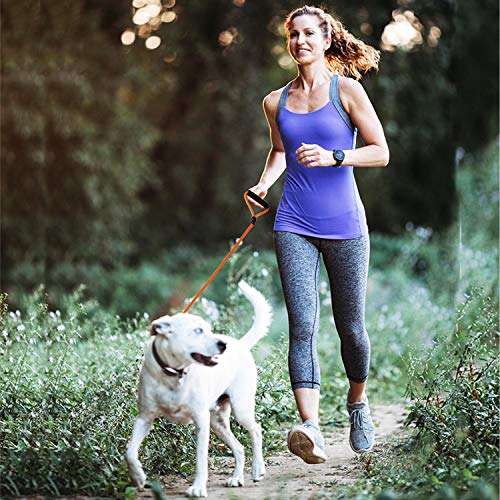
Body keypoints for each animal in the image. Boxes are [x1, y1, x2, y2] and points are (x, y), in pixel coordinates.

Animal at [125, 282, 274, 496]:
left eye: (209, 330)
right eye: (197, 331)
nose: (223, 345)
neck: (174, 374)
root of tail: (240, 344)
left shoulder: (201, 420)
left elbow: (201, 459)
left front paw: (197, 487)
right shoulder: (144, 418)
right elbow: (129, 451)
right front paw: (138, 476)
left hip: (241, 410)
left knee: (256, 431)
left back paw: (257, 469)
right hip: (217, 422)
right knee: (239, 448)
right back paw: (237, 477)